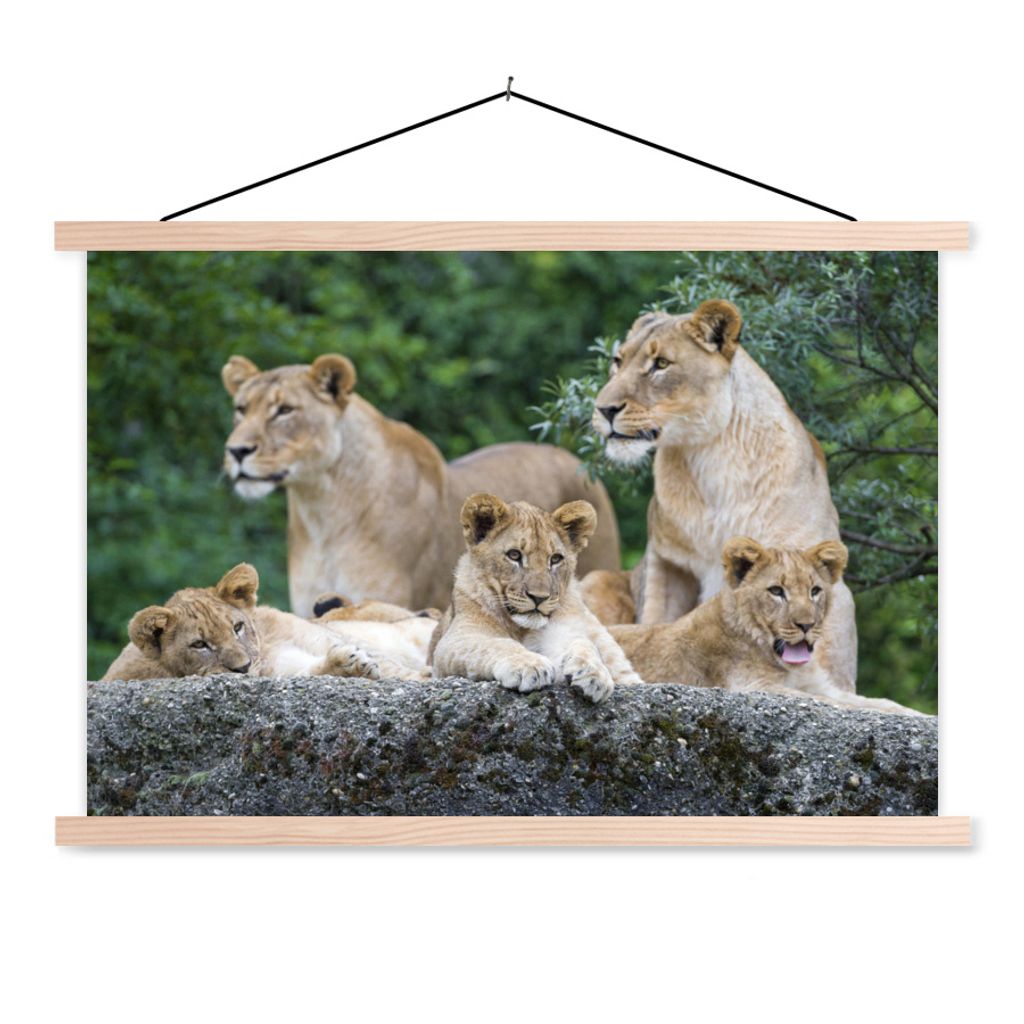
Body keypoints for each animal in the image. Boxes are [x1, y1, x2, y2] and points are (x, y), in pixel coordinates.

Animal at [100, 564, 429, 682]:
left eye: (237, 627)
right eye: (199, 644)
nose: (243, 668)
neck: (268, 645)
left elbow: (398, 670)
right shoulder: (284, 669)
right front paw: (350, 665)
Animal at [429, 494, 642, 703]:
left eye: (555, 559)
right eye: (514, 555)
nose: (539, 598)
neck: (521, 628)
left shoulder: (563, 631)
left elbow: (583, 644)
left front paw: (593, 673)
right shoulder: (454, 641)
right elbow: (496, 644)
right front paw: (529, 666)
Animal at [590, 300, 858, 691]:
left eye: (661, 364)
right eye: (617, 361)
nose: (604, 409)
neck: (710, 459)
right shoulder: (669, 564)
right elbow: (658, 621)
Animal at [610, 537, 922, 715]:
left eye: (815, 591)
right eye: (776, 591)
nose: (806, 624)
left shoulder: (819, 684)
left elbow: (877, 702)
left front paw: (916, 715)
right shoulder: (751, 686)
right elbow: (825, 702)